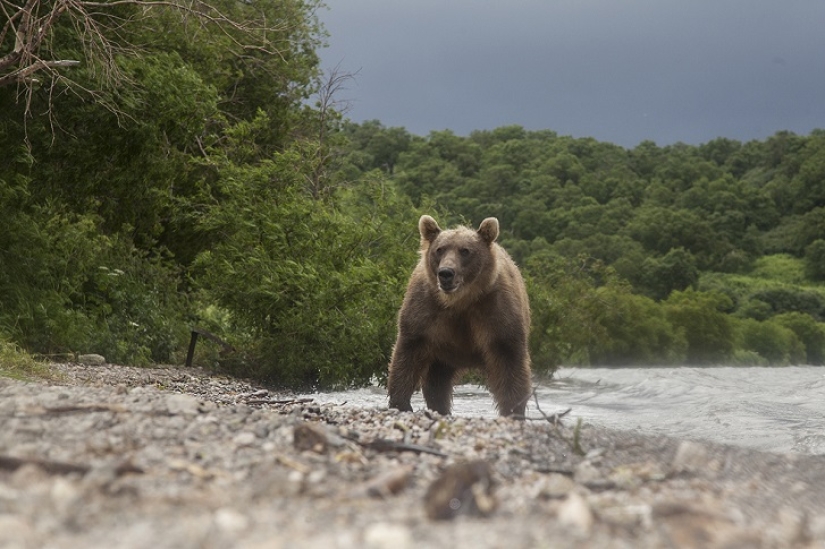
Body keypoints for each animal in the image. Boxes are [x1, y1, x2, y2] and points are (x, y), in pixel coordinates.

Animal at [387, 215, 532, 417]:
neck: (460, 301)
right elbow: (408, 352)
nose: (446, 273)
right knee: (436, 380)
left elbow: (509, 360)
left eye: (465, 251)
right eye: (439, 249)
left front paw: (513, 409)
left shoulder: (495, 311)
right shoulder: (426, 310)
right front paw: (401, 403)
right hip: (444, 353)